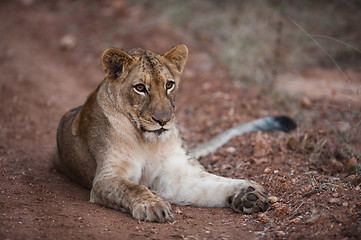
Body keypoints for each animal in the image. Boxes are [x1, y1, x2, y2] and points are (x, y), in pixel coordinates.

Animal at [52, 44, 296, 222]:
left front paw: (247, 194)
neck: (146, 141)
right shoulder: (106, 177)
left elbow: (209, 184)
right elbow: (132, 188)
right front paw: (152, 205)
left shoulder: (172, 174)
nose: (163, 120)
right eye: (140, 88)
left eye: (169, 85)